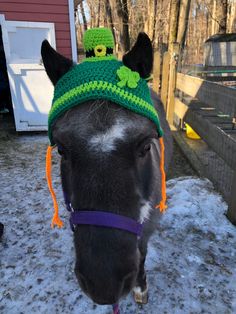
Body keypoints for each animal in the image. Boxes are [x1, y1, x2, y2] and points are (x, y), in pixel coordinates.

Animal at [41, 31, 172, 306]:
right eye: (61, 149)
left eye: (146, 145)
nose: (104, 283)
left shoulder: (148, 225)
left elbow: (142, 252)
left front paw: (141, 286)